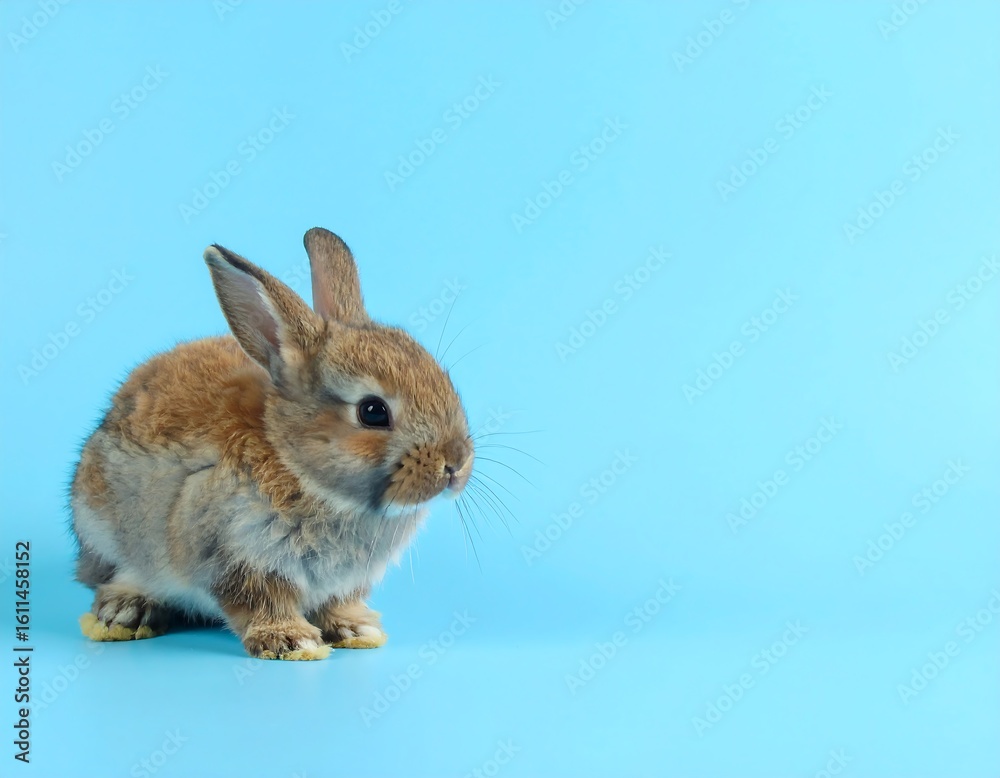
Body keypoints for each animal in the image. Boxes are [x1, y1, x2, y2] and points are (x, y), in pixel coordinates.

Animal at [70, 227, 474, 660]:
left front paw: (357, 630)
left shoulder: (342, 582)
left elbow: (338, 604)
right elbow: (261, 601)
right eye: (372, 412)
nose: (456, 464)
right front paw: (293, 642)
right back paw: (124, 613)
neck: (296, 463)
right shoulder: (237, 555)